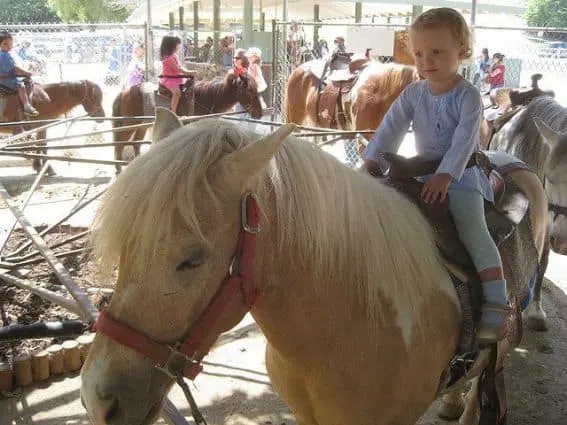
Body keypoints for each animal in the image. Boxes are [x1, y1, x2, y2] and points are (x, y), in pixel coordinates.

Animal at [112, 71, 266, 172]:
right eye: (249, 90)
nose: (259, 113)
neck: (205, 98)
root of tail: (124, 92)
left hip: (141, 126)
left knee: (135, 144)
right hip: (129, 124)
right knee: (120, 145)